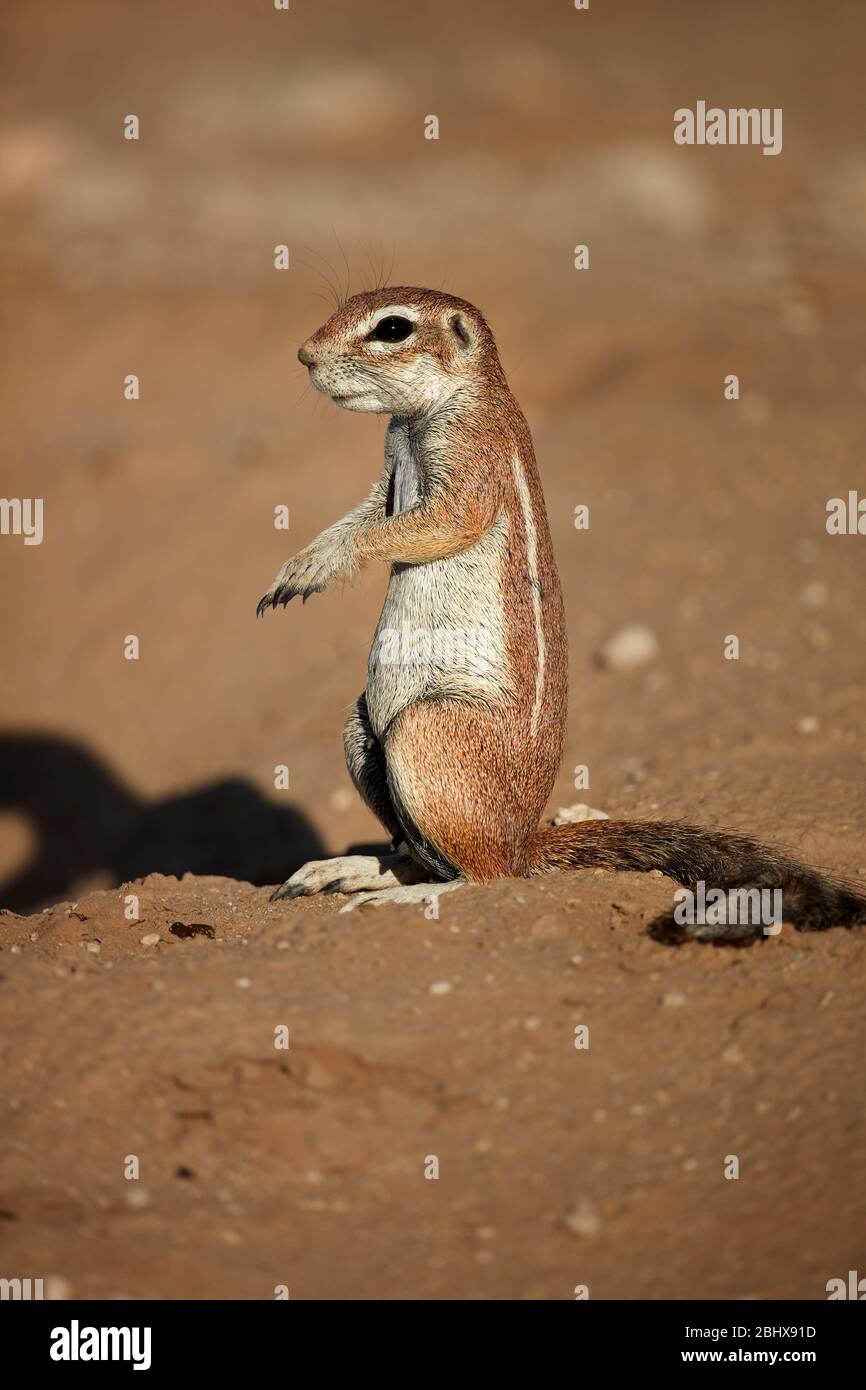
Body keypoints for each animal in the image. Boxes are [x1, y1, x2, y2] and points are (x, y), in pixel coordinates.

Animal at [258, 286, 866, 939]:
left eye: (392, 328)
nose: (304, 355)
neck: (439, 408)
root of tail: (525, 839)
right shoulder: (388, 470)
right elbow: (365, 513)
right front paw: (298, 568)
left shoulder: (472, 458)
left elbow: (433, 523)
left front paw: (324, 562)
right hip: (361, 728)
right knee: (424, 857)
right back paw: (345, 871)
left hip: (427, 732)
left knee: (487, 876)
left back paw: (402, 895)